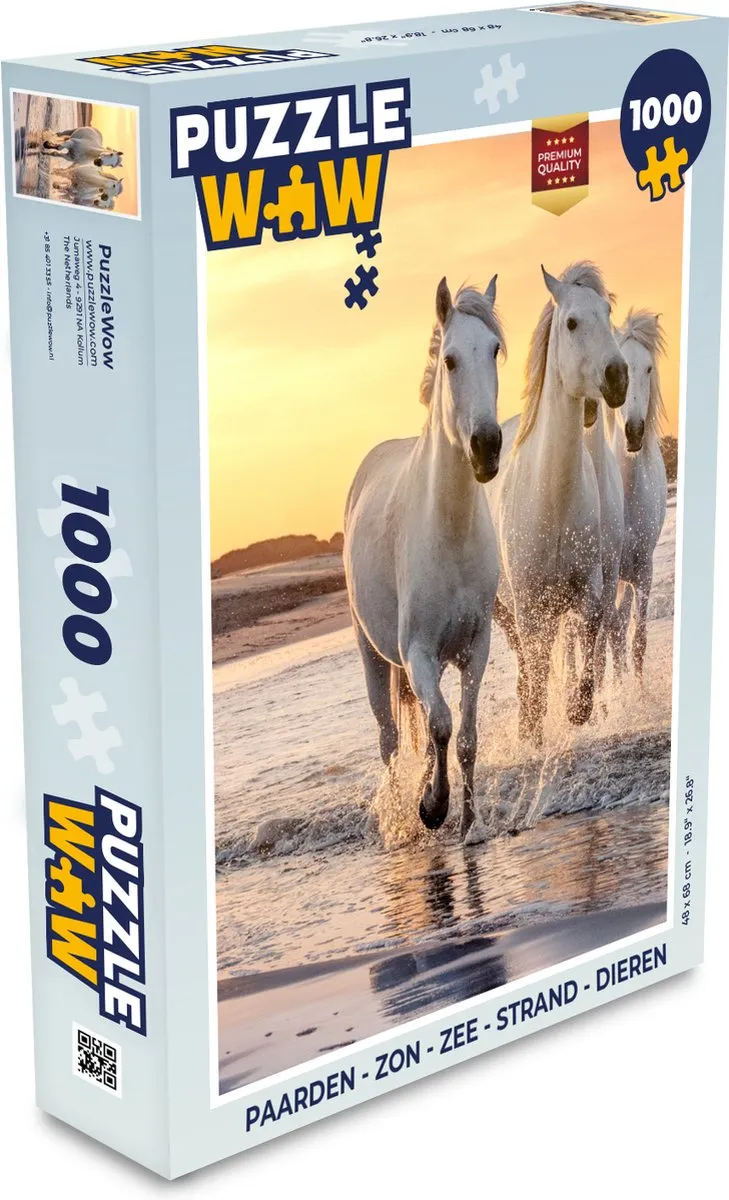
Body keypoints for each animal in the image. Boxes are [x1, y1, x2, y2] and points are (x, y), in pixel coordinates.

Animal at [344, 276, 504, 841]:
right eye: (451, 360)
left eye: (494, 350)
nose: (487, 446)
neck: (449, 531)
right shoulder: (419, 654)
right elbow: (440, 723)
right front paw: (433, 807)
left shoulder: (476, 647)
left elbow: (468, 736)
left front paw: (470, 824)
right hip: (372, 655)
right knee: (389, 740)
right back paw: (400, 816)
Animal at [489, 262, 627, 746]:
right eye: (571, 322)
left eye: (607, 312)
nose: (618, 376)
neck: (552, 499)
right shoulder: (530, 609)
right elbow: (536, 670)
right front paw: (532, 728)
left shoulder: (588, 591)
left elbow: (588, 650)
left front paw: (577, 708)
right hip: (506, 611)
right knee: (528, 665)